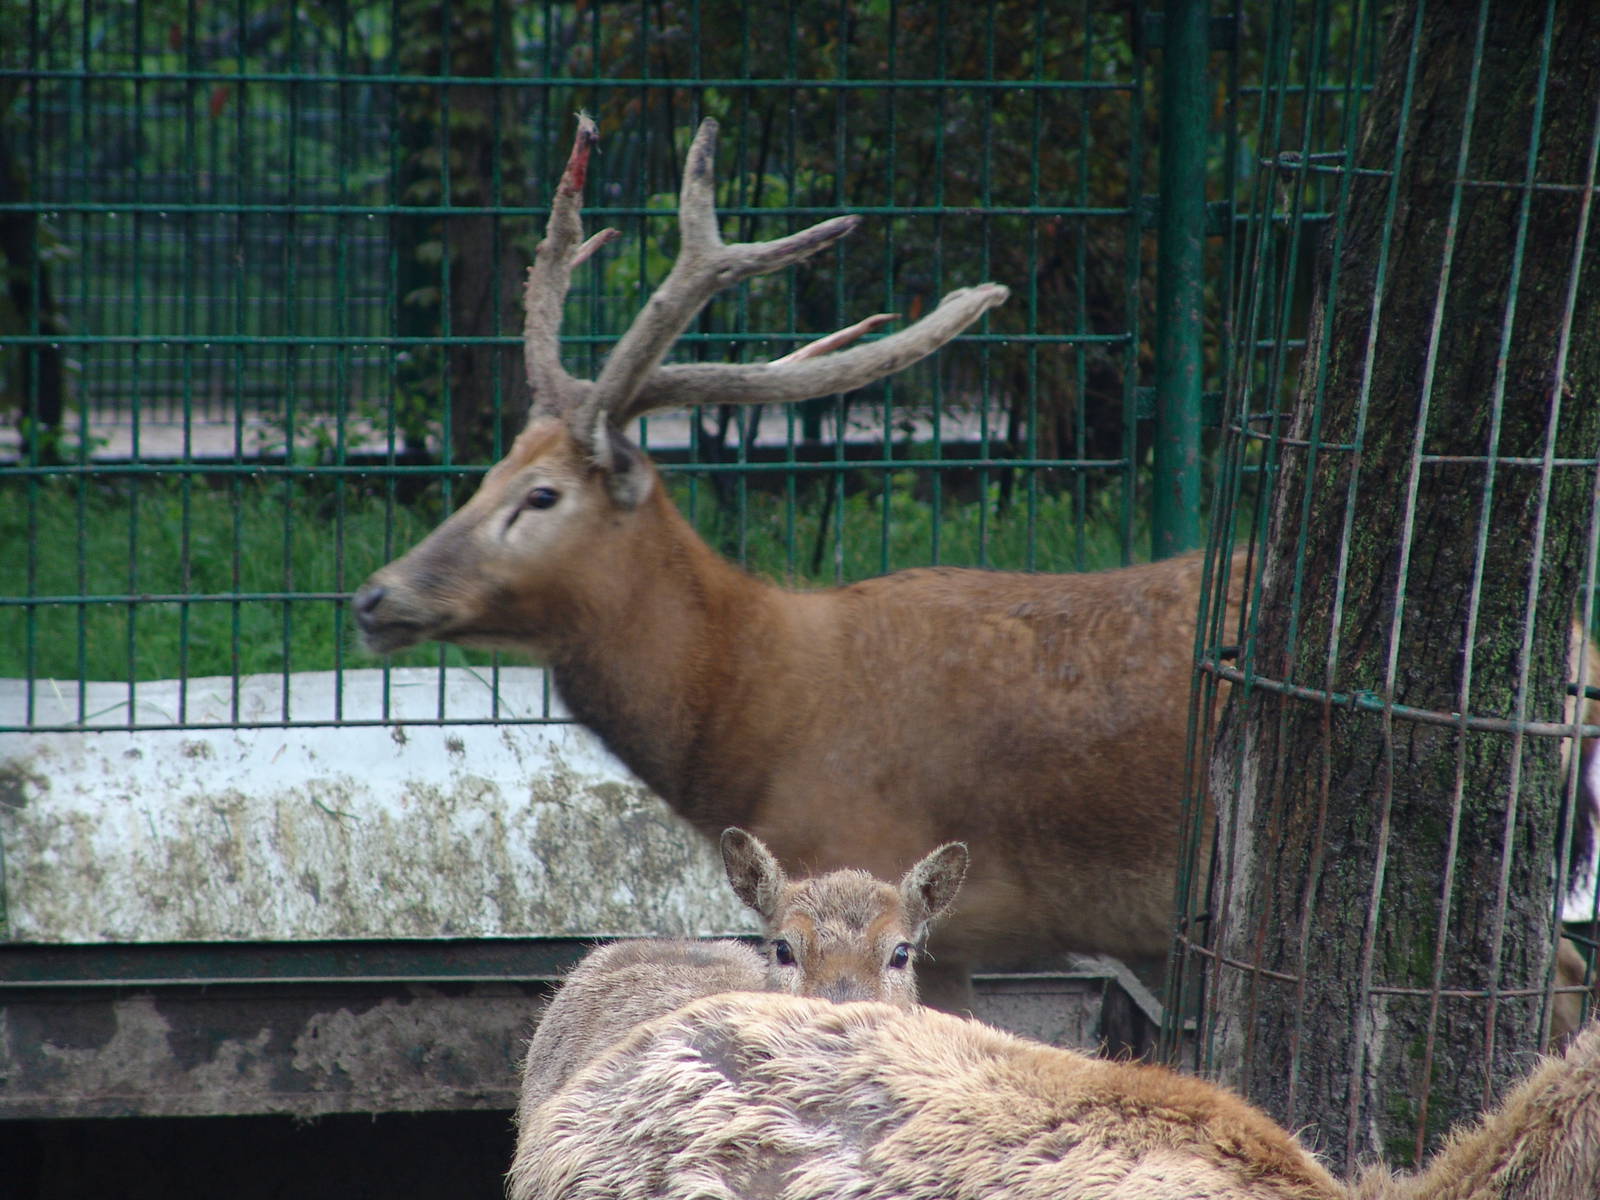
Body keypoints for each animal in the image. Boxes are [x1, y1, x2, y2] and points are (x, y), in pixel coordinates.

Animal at [353, 114, 1600, 1014]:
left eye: (541, 496)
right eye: (488, 469)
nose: (373, 595)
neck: (757, 710)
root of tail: (1576, 654)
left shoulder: (881, 868)